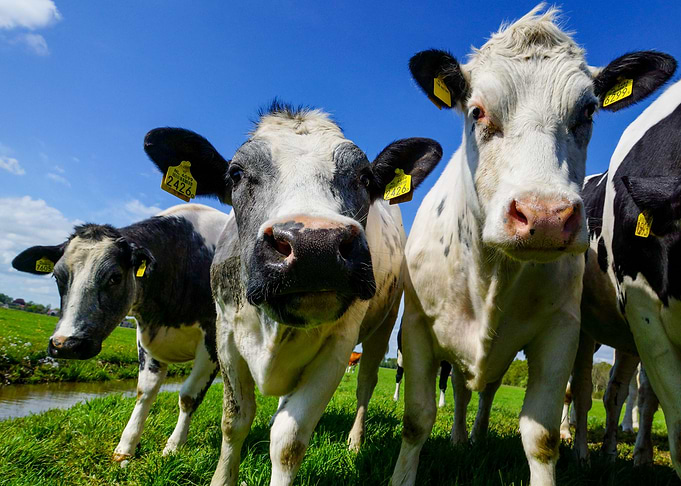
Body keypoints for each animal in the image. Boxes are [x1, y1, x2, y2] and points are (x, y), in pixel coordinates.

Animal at [11, 204, 228, 464]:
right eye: (57, 276)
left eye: (115, 277)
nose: (65, 344)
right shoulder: (147, 338)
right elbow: (145, 391)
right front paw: (126, 447)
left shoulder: (212, 341)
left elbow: (188, 396)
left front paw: (173, 447)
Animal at [142, 102, 443, 486]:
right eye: (236, 174)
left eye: (364, 177)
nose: (316, 246)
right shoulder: (224, 335)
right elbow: (234, 421)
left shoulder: (339, 346)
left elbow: (288, 442)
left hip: (385, 325)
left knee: (366, 383)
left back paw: (355, 442)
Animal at [568, 77, 681, 477]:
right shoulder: (645, 315)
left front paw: (641, 455)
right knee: (580, 388)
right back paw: (578, 448)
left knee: (615, 390)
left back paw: (610, 451)